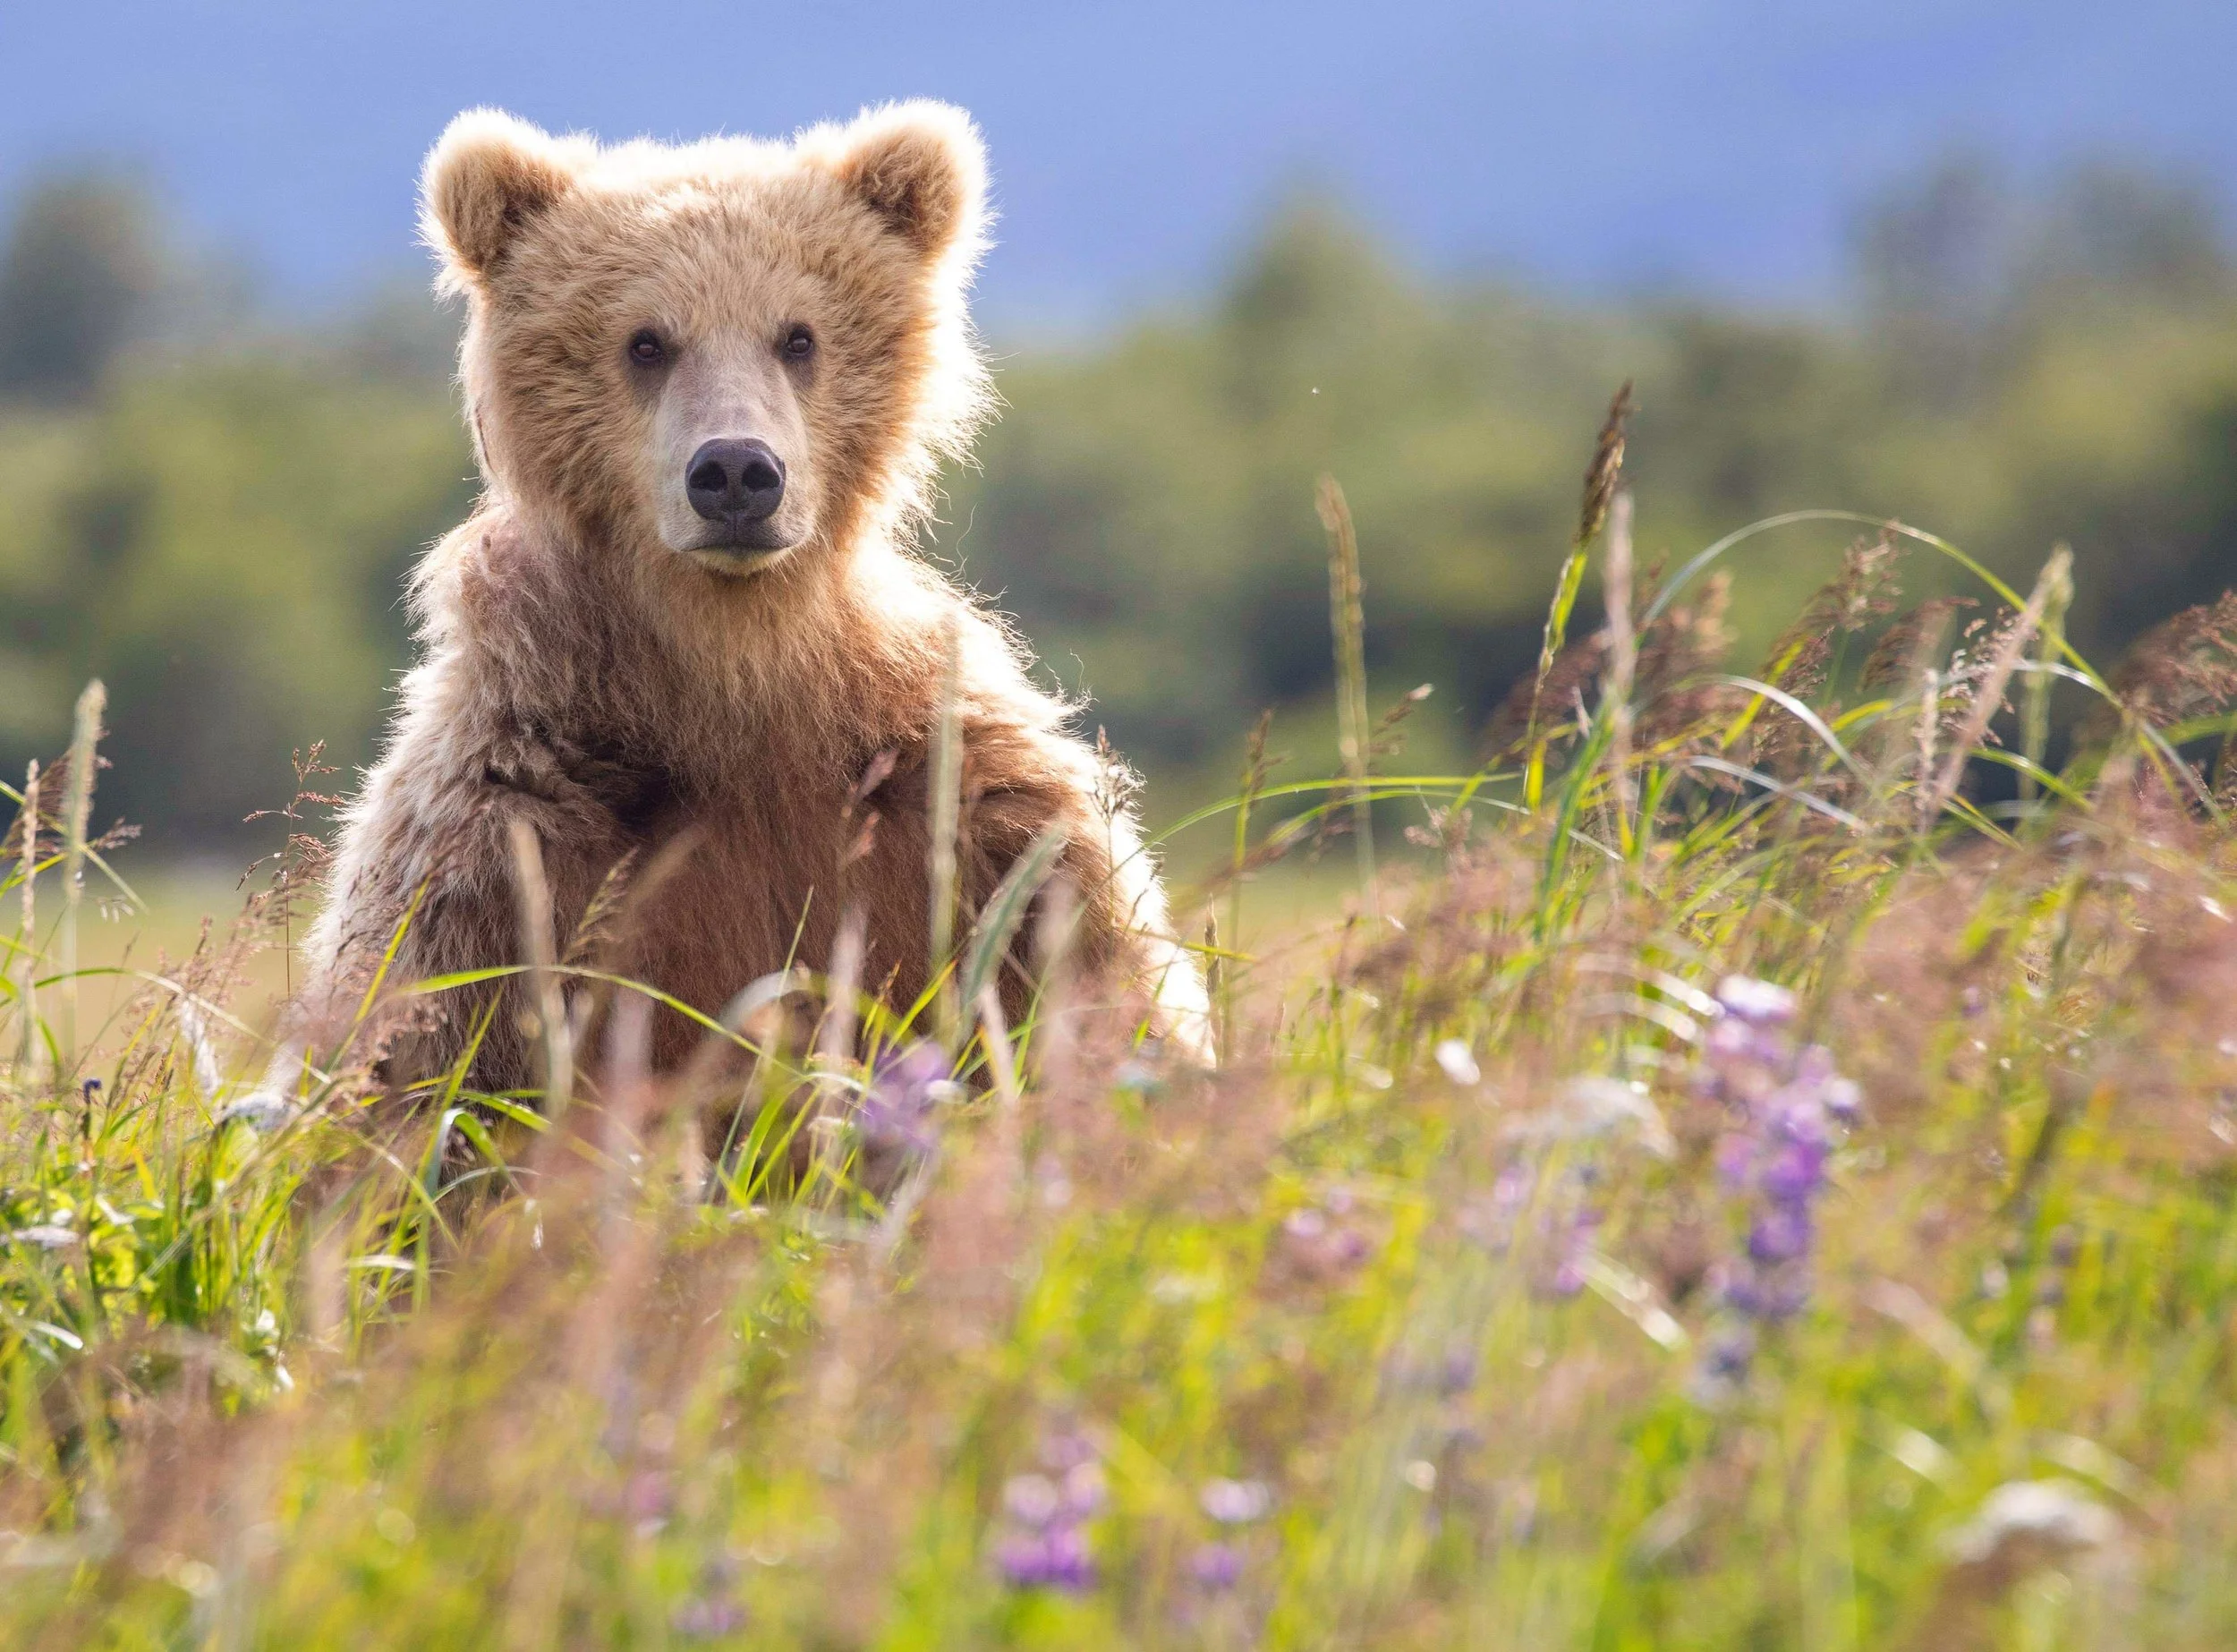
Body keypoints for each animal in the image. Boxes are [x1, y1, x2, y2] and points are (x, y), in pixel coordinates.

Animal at [286, 101, 1206, 1102]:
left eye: (797, 335)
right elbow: (425, 1061)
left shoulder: (969, 818)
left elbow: (1102, 990)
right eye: (646, 341)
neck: (735, 675)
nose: (734, 472)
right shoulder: (509, 845)